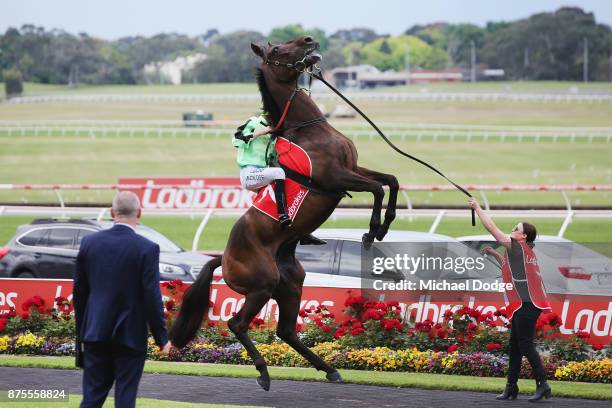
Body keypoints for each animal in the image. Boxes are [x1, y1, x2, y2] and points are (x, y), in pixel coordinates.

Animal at [170, 36, 400, 390]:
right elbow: (376, 189)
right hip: (262, 284)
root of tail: (223, 258)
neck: (309, 129)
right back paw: (263, 371)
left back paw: (329, 369)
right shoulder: (335, 177)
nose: (309, 40)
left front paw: (385, 223)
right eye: (277, 50)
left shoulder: (353, 168)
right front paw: (374, 229)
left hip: (290, 284)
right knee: (237, 324)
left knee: (287, 330)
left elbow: (390, 181)